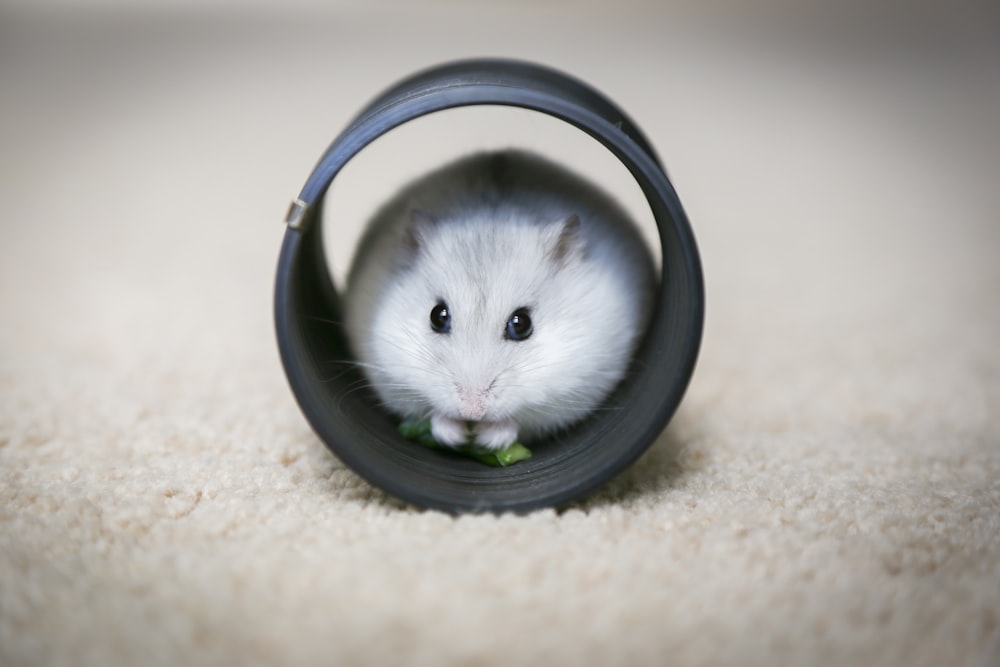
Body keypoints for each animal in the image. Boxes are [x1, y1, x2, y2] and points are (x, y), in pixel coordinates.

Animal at [344, 151, 656, 452]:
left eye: (521, 324)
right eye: (437, 316)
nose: (472, 410)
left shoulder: (576, 387)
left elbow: (520, 420)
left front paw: (488, 439)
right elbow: (433, 414)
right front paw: (455, 435)